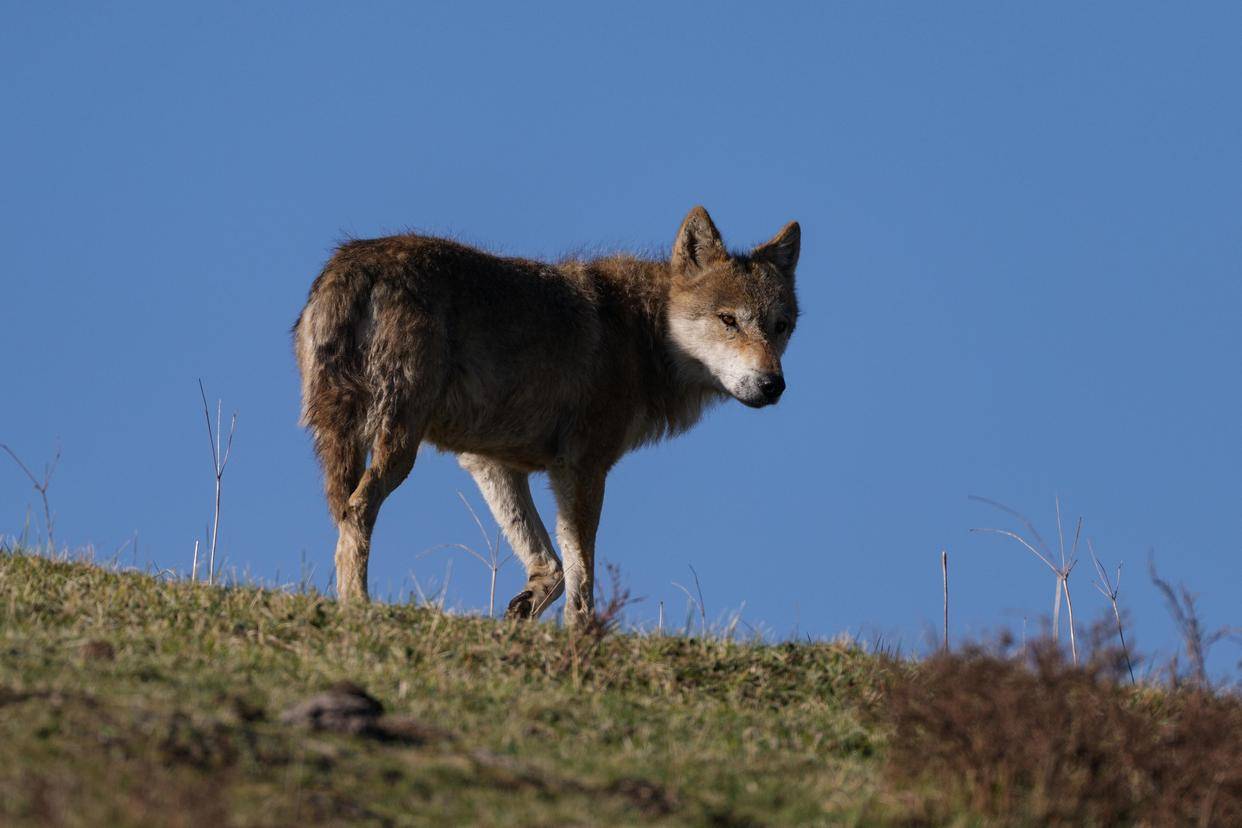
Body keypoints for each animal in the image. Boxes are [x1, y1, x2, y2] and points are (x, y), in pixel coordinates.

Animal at [294, 207, 799, 628]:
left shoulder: (490, 462)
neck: (644, 335)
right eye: (729, 320)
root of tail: (352, 263)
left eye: (781, 327)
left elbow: (551, 568)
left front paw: (522, 611)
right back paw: (357, 605)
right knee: (357, 509)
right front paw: (583, 636)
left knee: (343, 510)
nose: (773, 384)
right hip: (399, 449)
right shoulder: (581, 469)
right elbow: (582, 577)